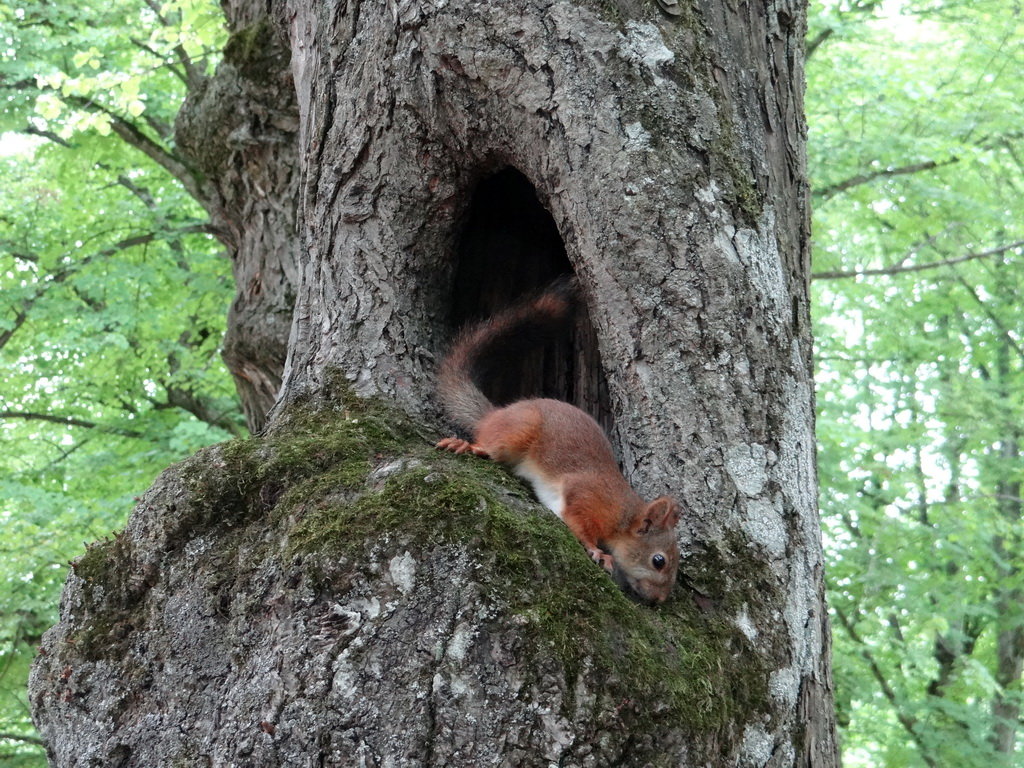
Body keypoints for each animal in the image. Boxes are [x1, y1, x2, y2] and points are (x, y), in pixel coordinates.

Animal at [434, 280, 679, 606]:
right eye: (658, 560)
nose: (660, 600)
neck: (622, 511)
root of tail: (495, 415)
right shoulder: (585, 496)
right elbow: (578, 523)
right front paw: (599, 552)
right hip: (519, 431)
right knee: (490, 444)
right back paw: (470, 446)